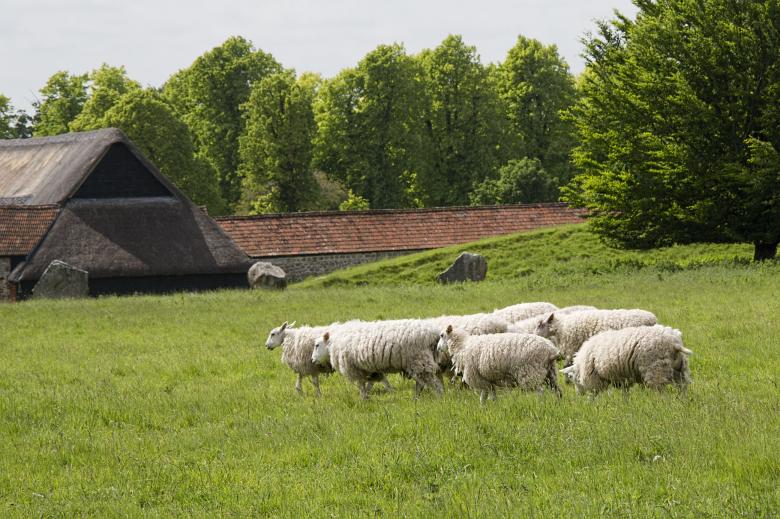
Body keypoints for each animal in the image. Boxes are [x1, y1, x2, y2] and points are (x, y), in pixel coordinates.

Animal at [311, 319, 443, 400]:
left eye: (317, 345)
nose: (312, 360)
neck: (334, 344)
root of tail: (433, 334)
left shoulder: (355, 368)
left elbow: (361, 385)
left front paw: (363, 399)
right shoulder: (371, 369)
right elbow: (373, 383)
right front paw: (369, 397)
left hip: (419, 360)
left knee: (433, 383)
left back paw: (439, 398)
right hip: (419, 362)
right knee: (421, 383)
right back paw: (416, 398)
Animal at [560, 325, 693, 395]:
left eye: (571, 377)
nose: (579, 395)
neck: (580, 366)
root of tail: (673, 342)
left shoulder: (594, 379)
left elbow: (594, 396)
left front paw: (592, 407)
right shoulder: (622, 377)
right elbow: (625, 394)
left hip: (656, 369)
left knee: (662, 392)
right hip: (680, 368)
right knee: (683, 386)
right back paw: (681, 401)